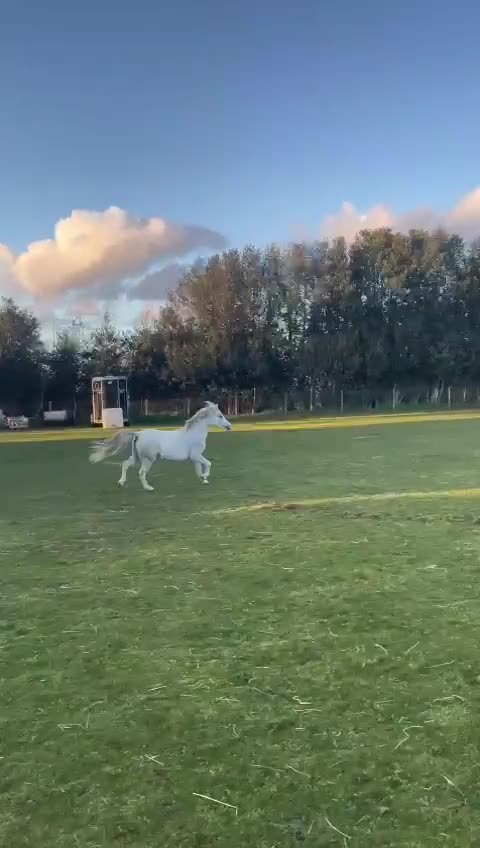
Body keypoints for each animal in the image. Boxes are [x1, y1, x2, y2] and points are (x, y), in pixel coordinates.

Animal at [89, 401, 232, 491]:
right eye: (220, 416)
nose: (229, 426)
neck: (194, 433)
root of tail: (138, 433)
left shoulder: (194, 458)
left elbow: (199, 469)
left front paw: (203, 479)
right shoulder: (196, 455)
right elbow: (208, 464)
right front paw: (206, 476)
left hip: (137, 457)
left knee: (125, 464)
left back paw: (121, 482)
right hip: (148, 459)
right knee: (141, 472)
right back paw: (149, 488)